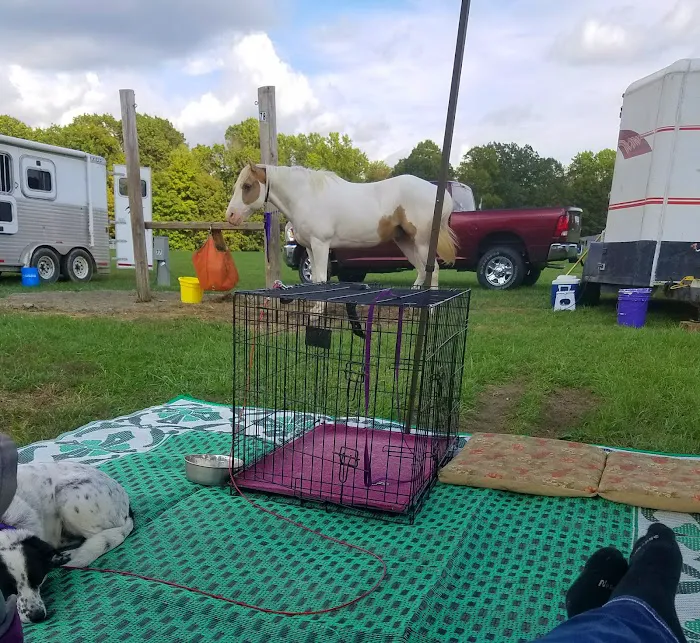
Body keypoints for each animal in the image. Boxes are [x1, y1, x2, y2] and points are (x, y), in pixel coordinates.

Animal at [225, 163, 458, 288]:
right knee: (421, 271)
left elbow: (320, 279)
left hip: (423, 243)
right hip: (405, 241)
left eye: (247, 186)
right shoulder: (310, 248)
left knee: (433, 271)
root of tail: (442, 196)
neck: (305, 197)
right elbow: (316, 280)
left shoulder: (321, 245)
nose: (231, 215)